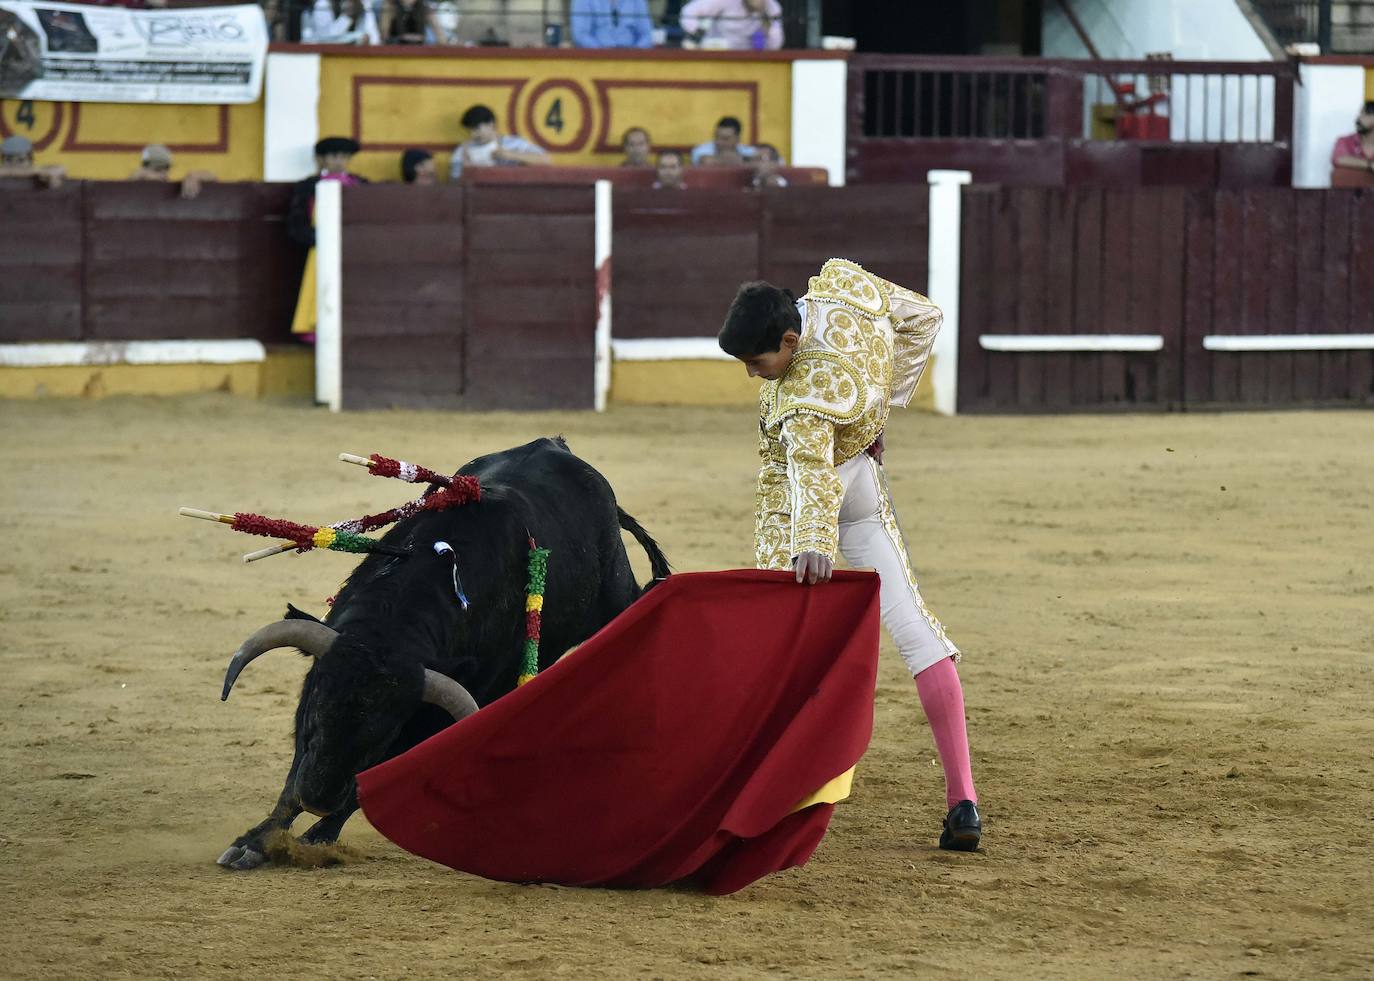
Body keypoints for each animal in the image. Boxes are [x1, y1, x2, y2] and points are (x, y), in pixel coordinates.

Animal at [210, 439, 676, 868]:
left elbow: (380, 775)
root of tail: (559, 447)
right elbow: (293, 779)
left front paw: (314, 837)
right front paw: (255, 843)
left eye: (384, 732)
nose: (319, 798)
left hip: (615, 597)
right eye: (314, 711)